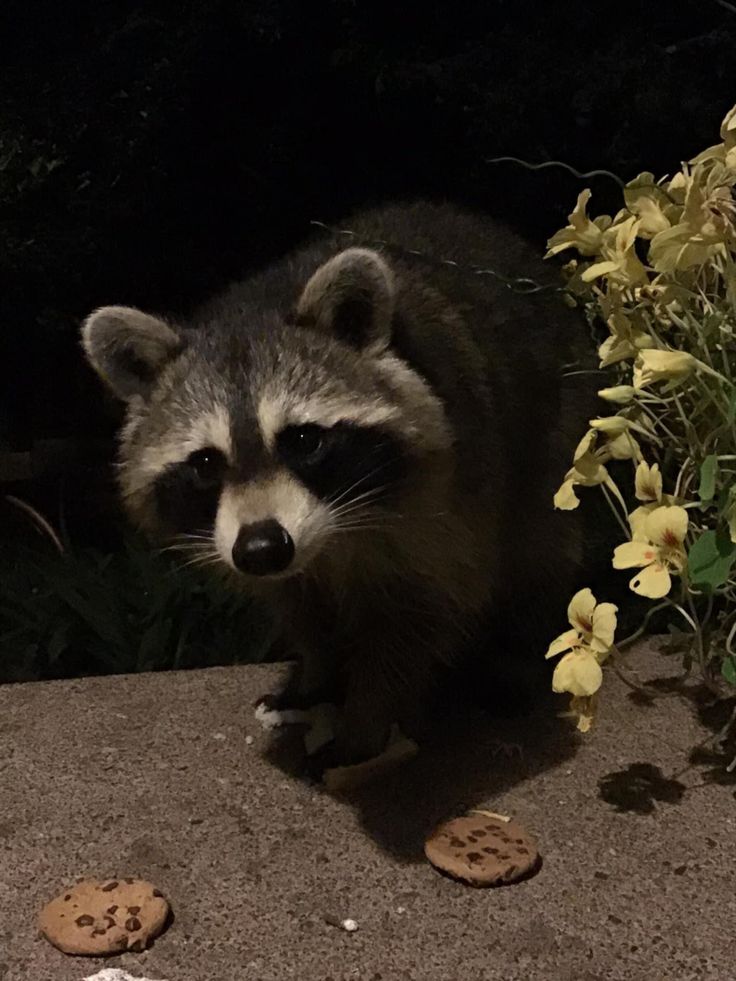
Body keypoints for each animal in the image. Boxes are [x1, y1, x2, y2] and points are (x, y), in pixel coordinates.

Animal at [80, 201, 604, 772]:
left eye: (303, 440)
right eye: (205, 464)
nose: (262, 548)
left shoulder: (447, 508)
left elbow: (410, 622)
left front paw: (366, 720)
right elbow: (303, 607)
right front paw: (316, 675)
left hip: (555, 432)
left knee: (541, 547)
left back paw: (513, 652)